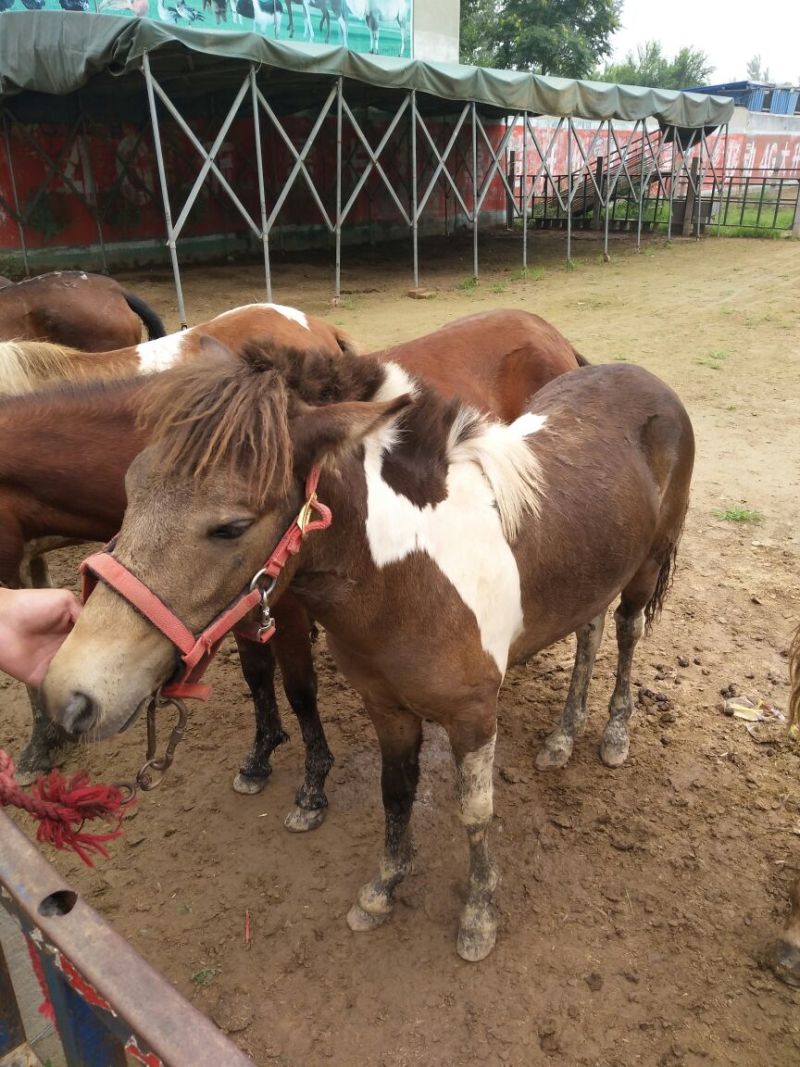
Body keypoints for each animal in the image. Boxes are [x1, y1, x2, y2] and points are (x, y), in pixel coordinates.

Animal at [7, 310, 584, 810]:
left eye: (232, 527)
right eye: (132, 488)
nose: (72, 694)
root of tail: (546, 330)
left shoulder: (279, 606)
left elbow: (299, 688)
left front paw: (312, 785)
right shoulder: (239, 611)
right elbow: (257, 676)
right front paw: (259, 757)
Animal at [42, 340, 694, 961]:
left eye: (230, 526)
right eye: (130, 488)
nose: (70, 694)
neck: (406, 576)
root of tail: (645, 379)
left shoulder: (474, 715)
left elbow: (475, 811)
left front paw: (478, 917)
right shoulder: (387, 708)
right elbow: (395, 794)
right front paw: (383, 890)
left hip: (646, 568)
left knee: (627, 634)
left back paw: (613, 733)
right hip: (594, 575)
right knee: (589, 632)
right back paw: (562, 737)